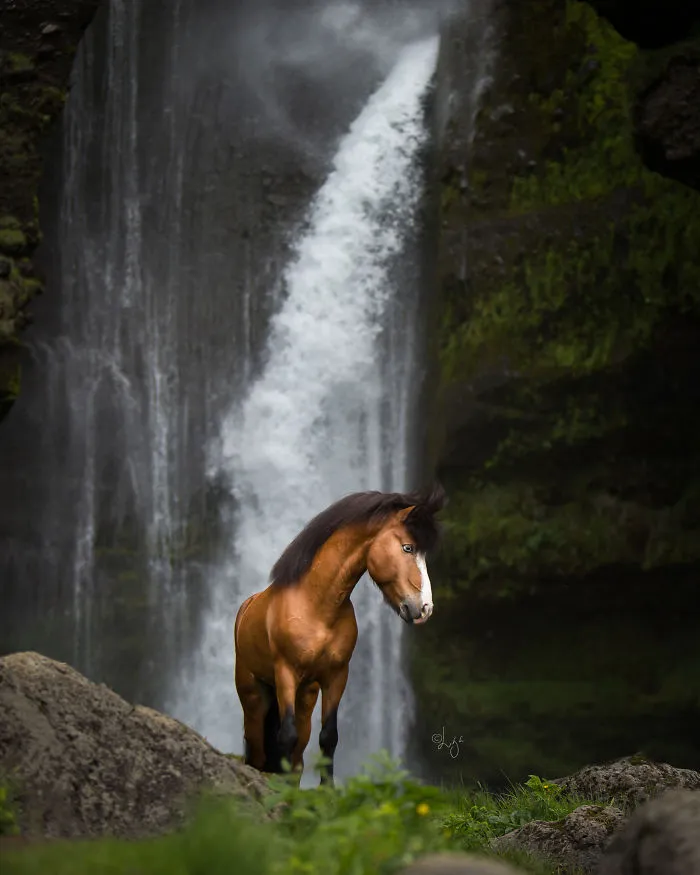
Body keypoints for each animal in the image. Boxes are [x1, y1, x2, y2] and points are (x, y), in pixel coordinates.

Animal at [233, 483, 446, 785]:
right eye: (408, 547)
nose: (425, 608)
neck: (317, 607)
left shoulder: (336, 676)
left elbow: (328, 737)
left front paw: (327, 789)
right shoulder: (285, 673)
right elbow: (286, 736)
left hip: (305, 697)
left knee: (297, 755)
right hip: (253, 696)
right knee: (257, 748)